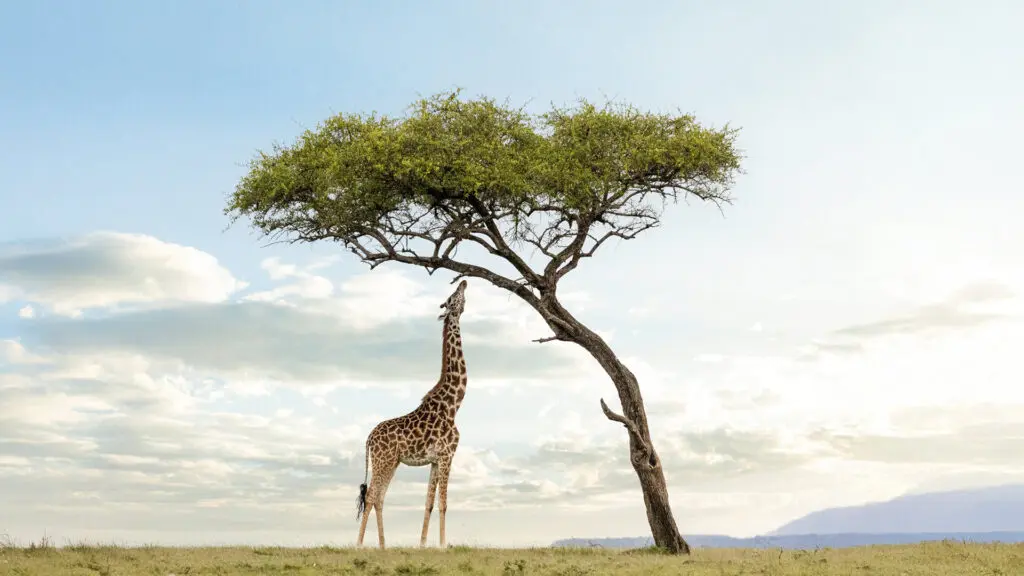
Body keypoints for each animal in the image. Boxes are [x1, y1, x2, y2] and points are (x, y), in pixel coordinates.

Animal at [356, 279, 470, 549]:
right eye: (452, 298)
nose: (463, 281)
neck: (453, 405)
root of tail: (368, 439)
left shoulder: (435, 460)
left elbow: (429, 503)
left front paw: (423, 545)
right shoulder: (447, 455)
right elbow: (443, 504)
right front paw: (442, 546)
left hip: (391, 462)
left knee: (379, 497)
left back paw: (383, 546)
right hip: (384, 460)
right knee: (372, 495)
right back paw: (359, 544)